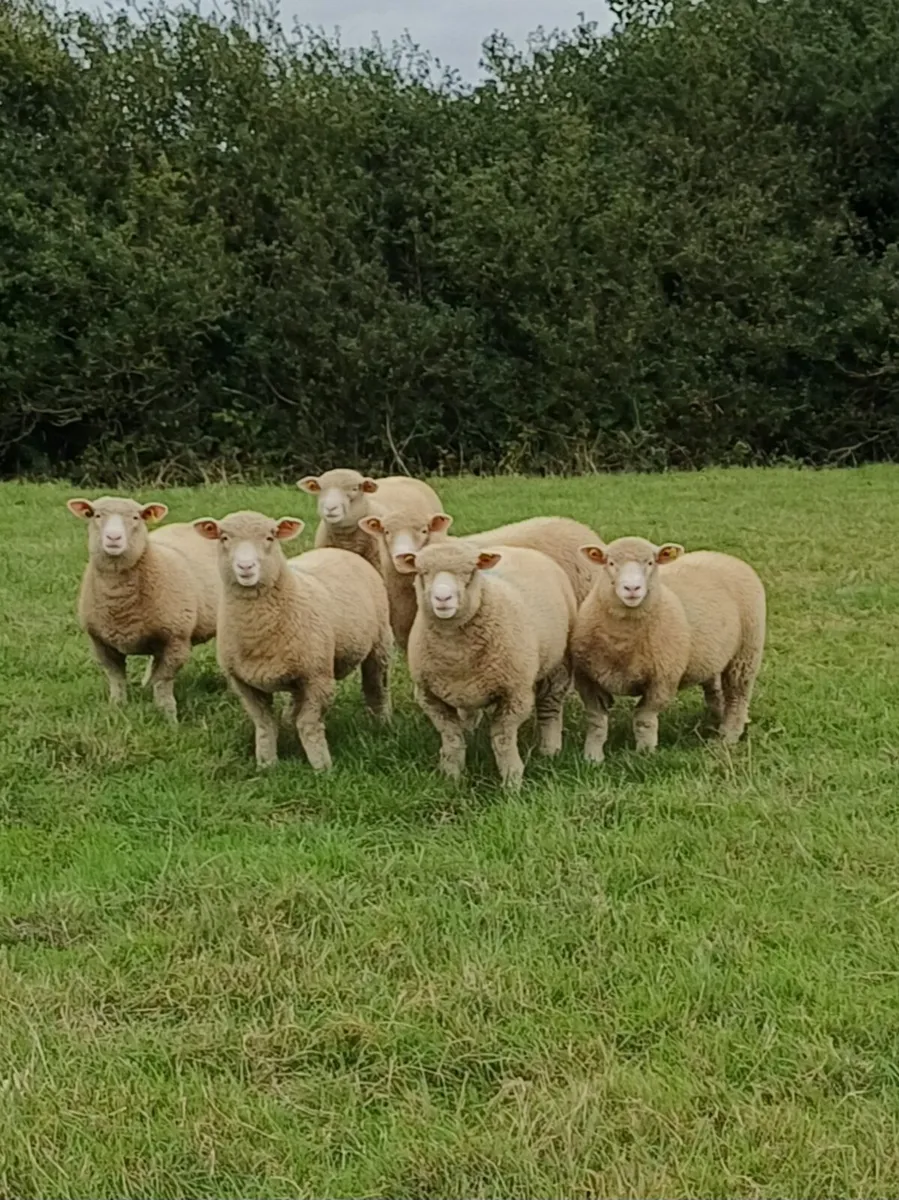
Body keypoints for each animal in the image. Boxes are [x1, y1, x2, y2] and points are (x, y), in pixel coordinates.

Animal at [67, 496, 220, 722]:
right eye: (96, 515)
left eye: (135, 517)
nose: (114, 537)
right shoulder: (99, 641)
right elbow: (116, 679)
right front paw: (116, 708)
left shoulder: (176, 640)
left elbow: (163, 682)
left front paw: (168, 717)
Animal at [193, 510, 392, 769]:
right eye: (224, 538)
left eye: (270, 537)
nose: (246, 567)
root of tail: (339, 551)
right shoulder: (243, 683)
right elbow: (265, 725)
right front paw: (267, 764)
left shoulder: (319, 678)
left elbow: (308, 724)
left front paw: (322, 767)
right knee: (296, 700)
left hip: (379, 644)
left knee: (376, 686)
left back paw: (381, 723)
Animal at [403, 540, 576, 789]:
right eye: (422, 572)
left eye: (470, 572)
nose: (442, 599)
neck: (455, 653)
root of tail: (519, 548)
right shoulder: (428, 695)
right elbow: (452, 738)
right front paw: (451, 777)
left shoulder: (515, 694)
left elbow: (502, 739)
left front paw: (512, 781)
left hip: (558, 664)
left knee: (550, 706)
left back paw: (550, 749)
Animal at [571, 536, 766, 760]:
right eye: (610, 563)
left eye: (650, 563)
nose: (632, 588)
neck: (622, 643)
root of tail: (724, 557)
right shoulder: (587, 679)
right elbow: (596, 721)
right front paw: (592, 757)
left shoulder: (662, 681)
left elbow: (644, 719)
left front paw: (644, 755)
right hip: (712, 656)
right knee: (715, 690)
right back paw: (715, 720)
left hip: (746, 654)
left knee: (737, 696)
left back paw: (728, 736)